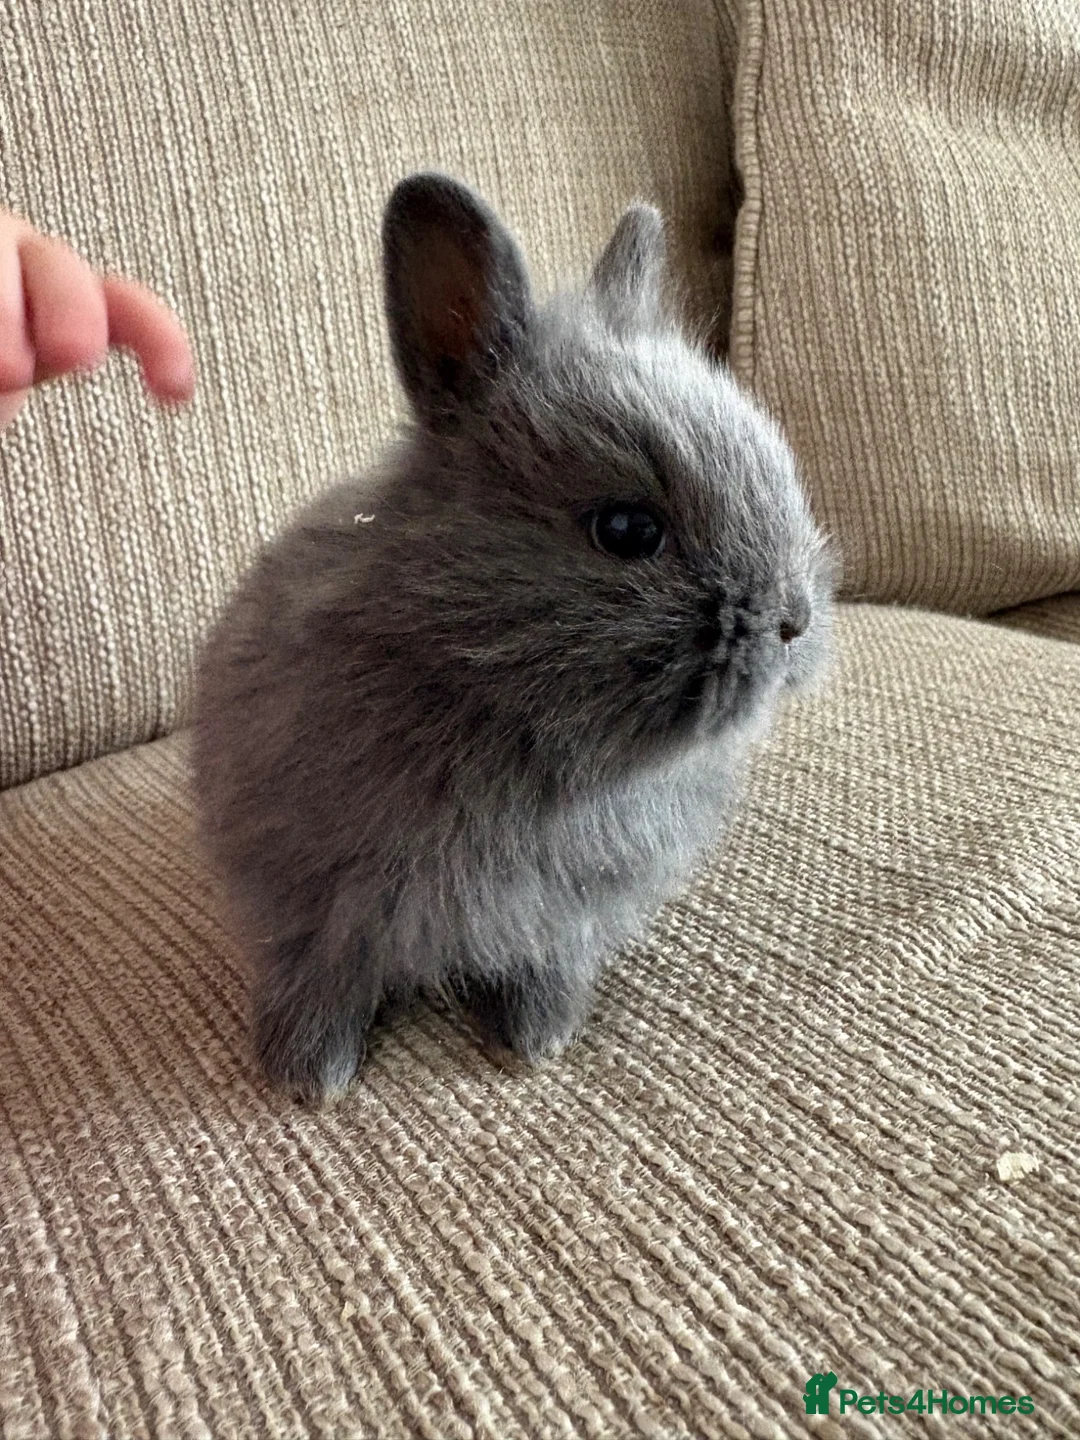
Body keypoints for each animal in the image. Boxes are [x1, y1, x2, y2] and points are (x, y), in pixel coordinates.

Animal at [191, 172, 834, 1102]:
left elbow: (540, 966)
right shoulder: (306, 901)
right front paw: (309, 1076)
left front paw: (537, 1039)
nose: (794, 620)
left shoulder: (563, 917)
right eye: (628, 530)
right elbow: (320, 977)